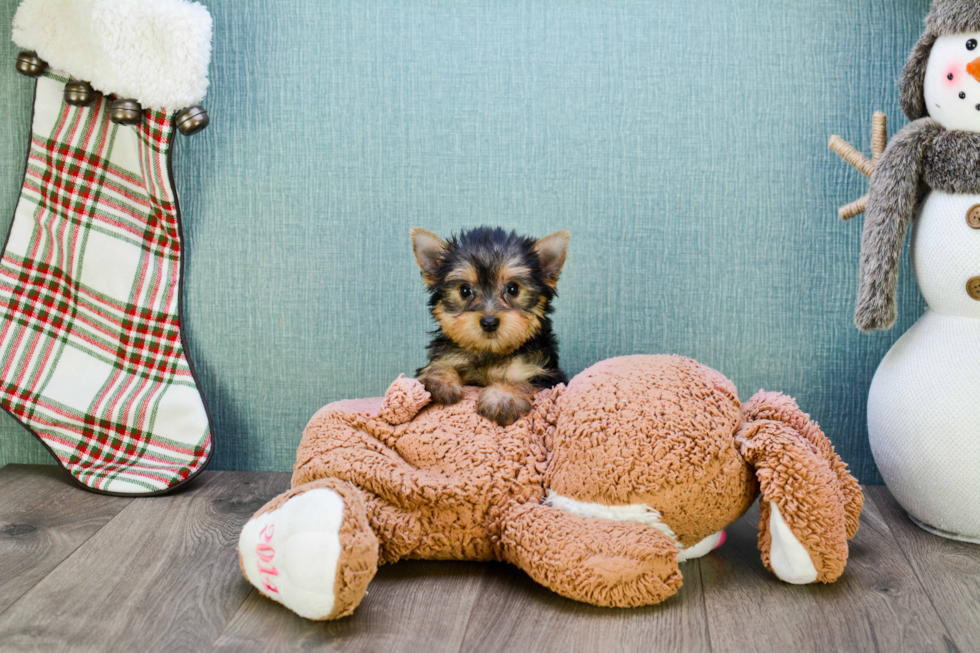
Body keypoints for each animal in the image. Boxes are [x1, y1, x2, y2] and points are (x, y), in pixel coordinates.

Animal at [410, 227, 572, 426]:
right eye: (465, 290)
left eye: (513, 289)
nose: (489, 322)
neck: (491, 352)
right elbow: (438, 365)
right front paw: (441, 380)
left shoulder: (547, 376)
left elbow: (524, 381)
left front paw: (502, 398)